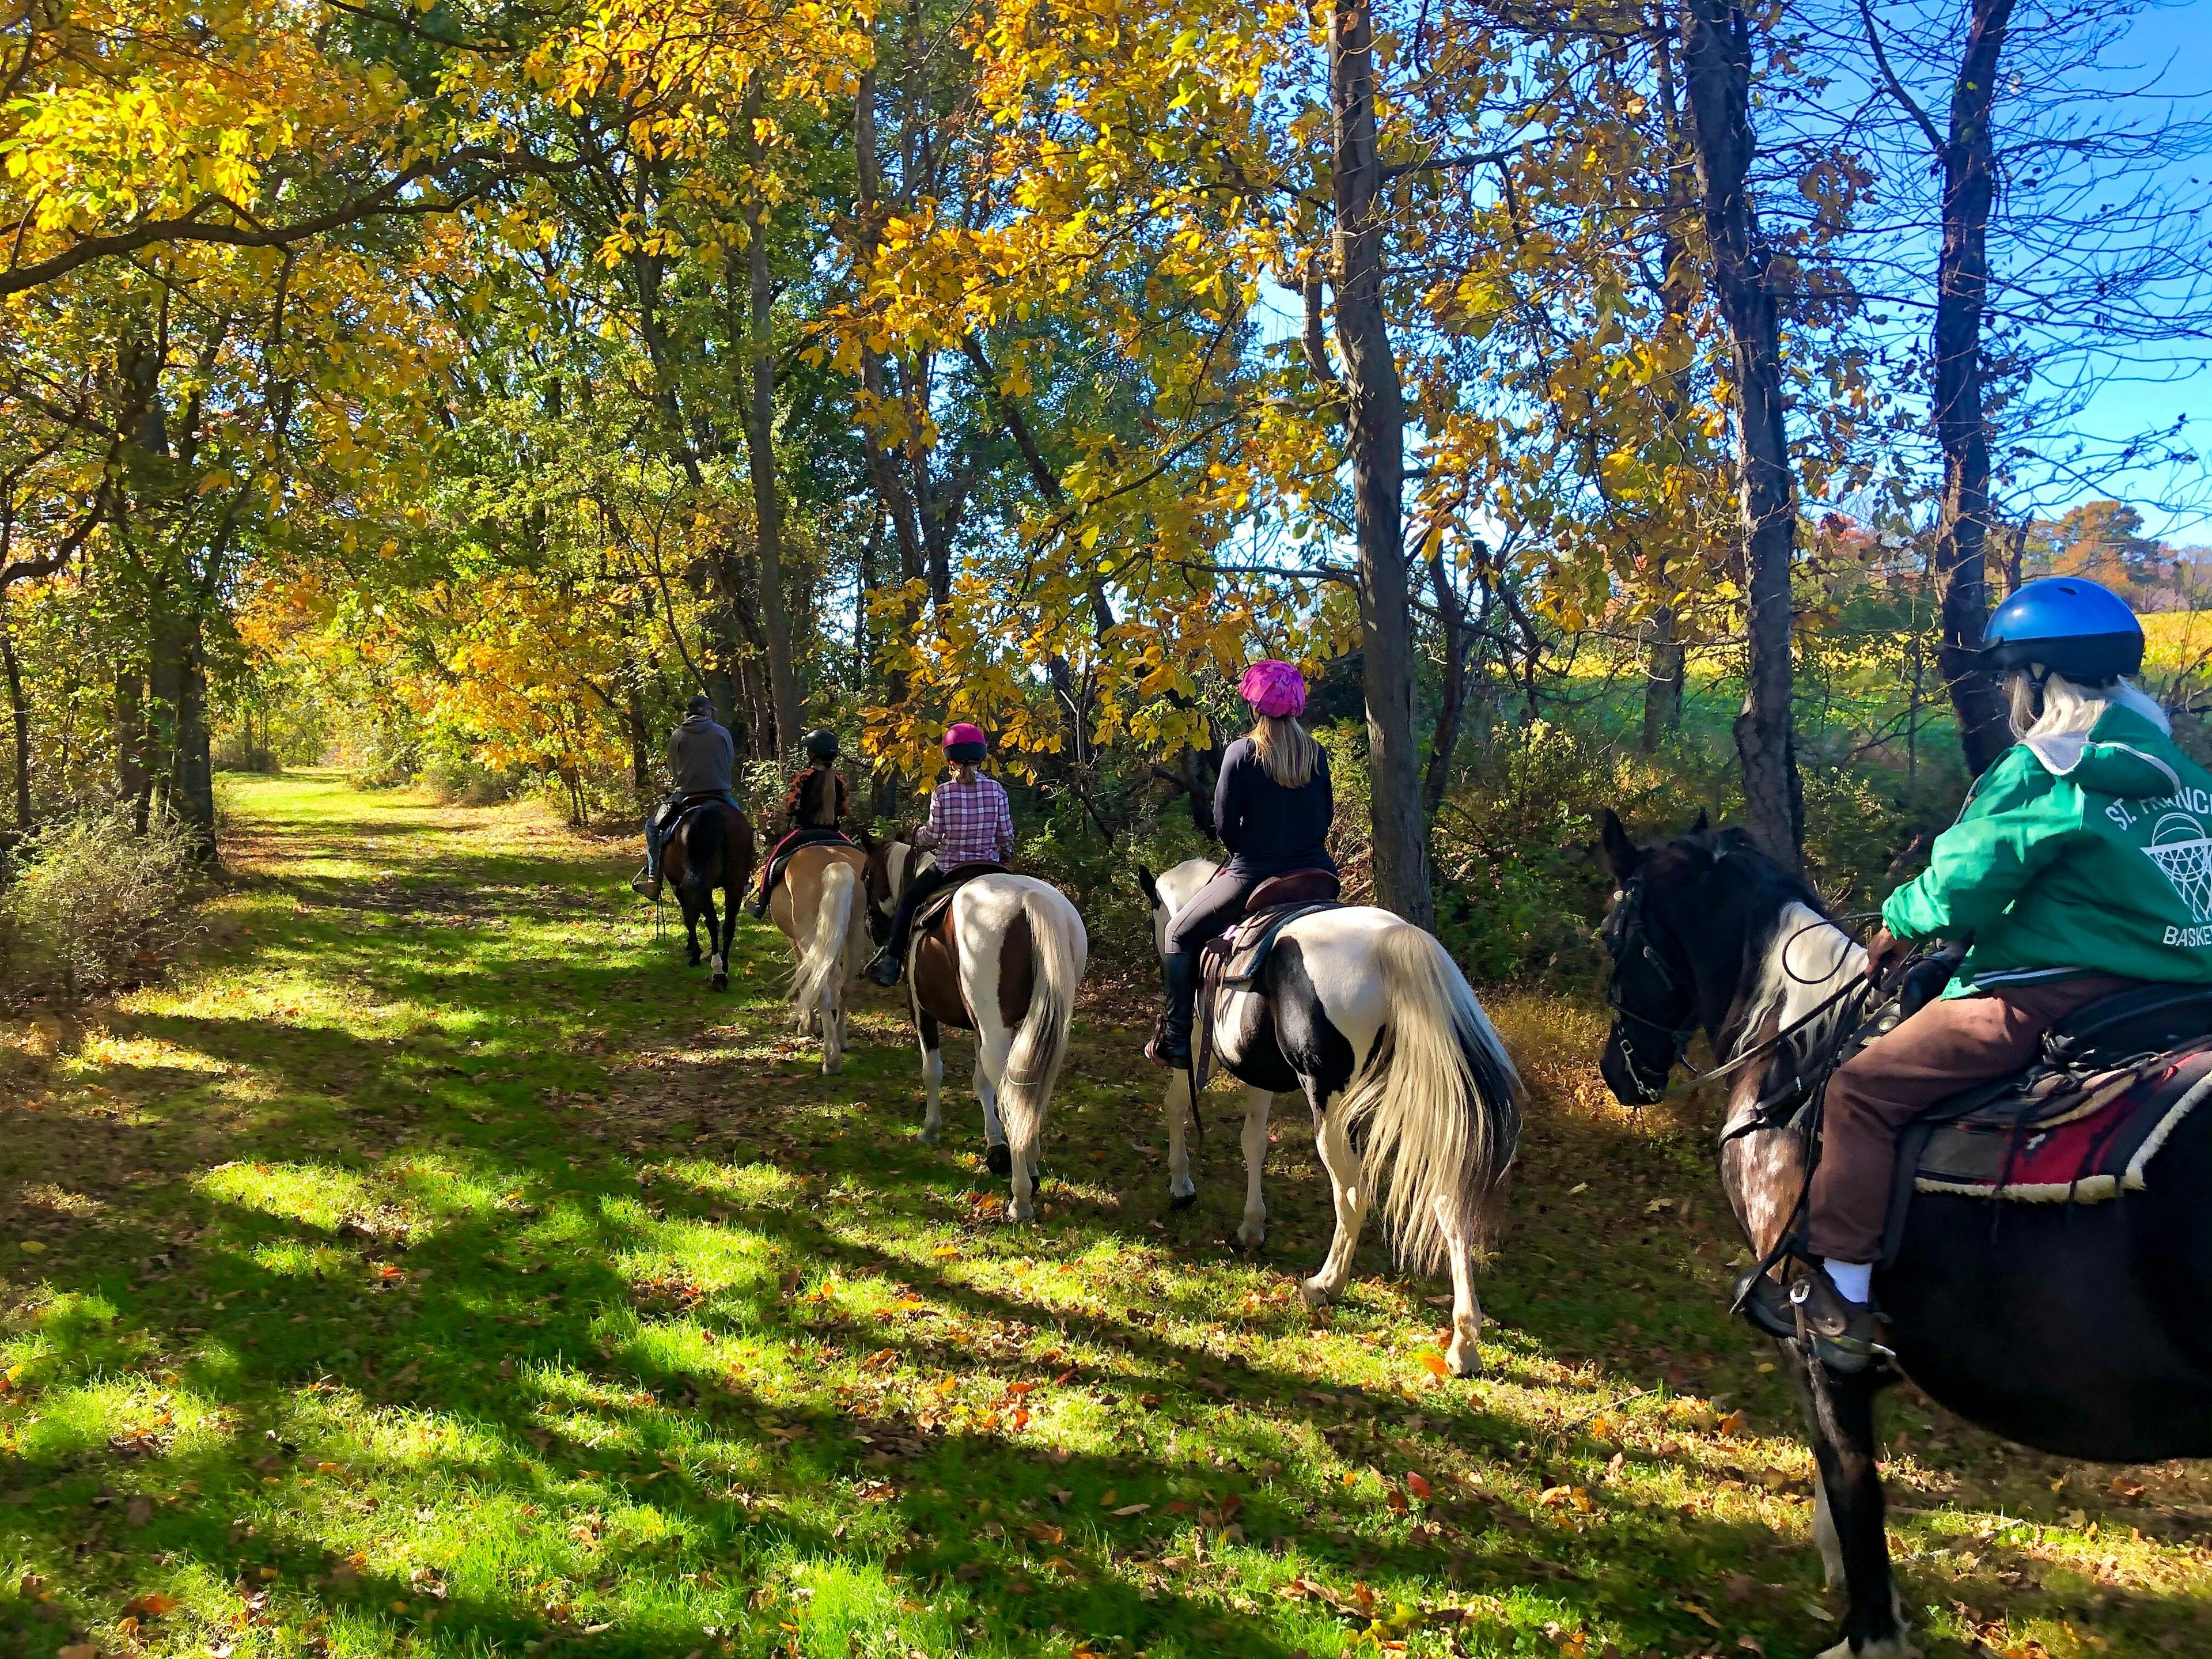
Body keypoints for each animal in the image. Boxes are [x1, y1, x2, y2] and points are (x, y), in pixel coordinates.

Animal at [659, 801, 756, 995]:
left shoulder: (678, 886)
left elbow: (690, 917)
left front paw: (694, 952)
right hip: (734, 884)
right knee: (728, 926)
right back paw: (724, 968)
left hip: (702, 885)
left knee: (711, 922)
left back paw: (717, 973)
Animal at [770, 844, 871, 1079]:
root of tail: (836, 863)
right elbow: (833, 975)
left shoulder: (796, 942)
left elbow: (805, 981)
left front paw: (806, 1024)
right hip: (855, 933)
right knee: (846, 986)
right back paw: (841, 1039)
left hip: (808, 935)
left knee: (820, 990)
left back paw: (831, 1060)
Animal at [862, 831, 1088, 1221]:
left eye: (866, 878)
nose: (871, 928)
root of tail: (1032, 901)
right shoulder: (982, 1025)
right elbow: (982, 1084)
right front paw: (995, 1146)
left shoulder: (921, 1010)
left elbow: (933, 1071)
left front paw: (930, 1130)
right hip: (1041, 1024)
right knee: (1028, 1084)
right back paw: (1029, 1161)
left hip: (995, 1025)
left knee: (1010, 1086)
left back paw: (1021, 1194)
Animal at [1141, 858, 1521, 1380]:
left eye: (1156, 920)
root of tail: (1391, 942)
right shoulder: (1259, 1067)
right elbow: (1253, 1140)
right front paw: (1252, 1225)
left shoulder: (1200, 1041)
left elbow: (1178, 1105)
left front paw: (1182, 1185)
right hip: (1425, 1106)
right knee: (1449, 1201)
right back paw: (1463, 1344)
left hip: (1329, 1103)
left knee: (1353, 1193)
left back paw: (1325, 1285)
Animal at [1601, 814, 2212, 1659]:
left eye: (1612, 938)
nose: (1618, 1072)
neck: (1798, 1057)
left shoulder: (1812, 1341)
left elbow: (1854, 1491)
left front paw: (1868, 1630)